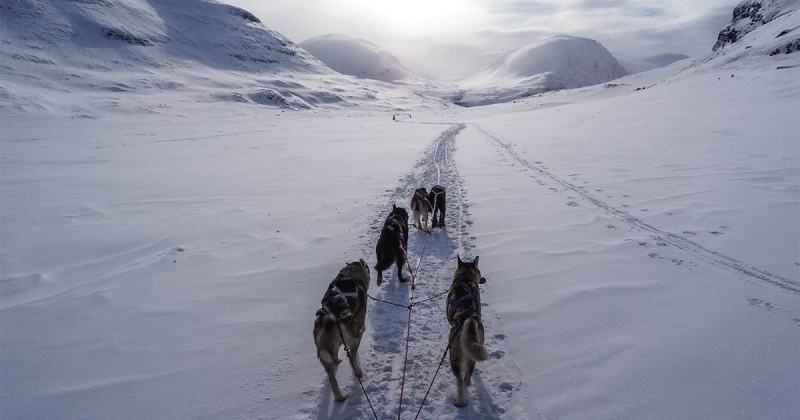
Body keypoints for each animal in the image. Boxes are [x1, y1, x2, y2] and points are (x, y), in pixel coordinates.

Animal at [314, 260, 374, 400]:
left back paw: (339, 397)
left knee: (332, 379)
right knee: (352, 358)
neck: (352, 274)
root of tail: (328, 318)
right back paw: (357, 373)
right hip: (355, 337)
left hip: (325, 352)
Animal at [444, 256, 488, 406]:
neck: (465, 278)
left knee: (460, 381)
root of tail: (468, 319)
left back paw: (460, 401)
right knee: (467, 379)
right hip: (474, 351)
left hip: (454, 357)